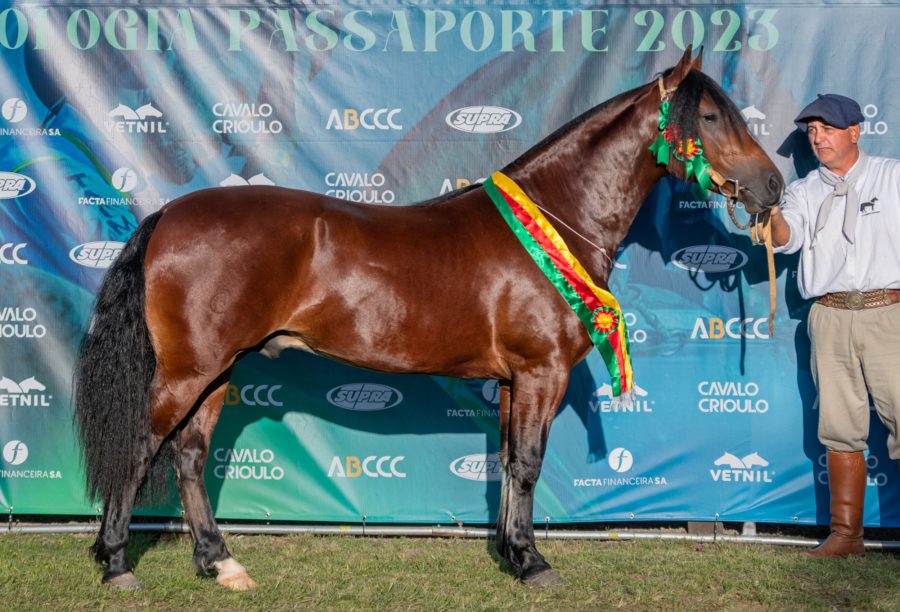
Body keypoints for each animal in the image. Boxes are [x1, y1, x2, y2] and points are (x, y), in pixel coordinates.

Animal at [74, 48, 783, 590]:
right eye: (710, 115)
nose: (773, 187)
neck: (554, 219)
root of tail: (168, 215)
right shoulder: (541, 373)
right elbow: (529, 463)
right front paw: (534, 565)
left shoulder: (511, 383)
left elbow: (508, 461)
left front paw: (511, 553)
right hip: (187, 373)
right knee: (142, 448)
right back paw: (117, 566)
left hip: (217, 373)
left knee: (191, 457)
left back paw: (220, 564)